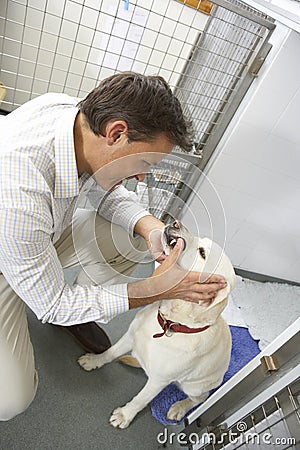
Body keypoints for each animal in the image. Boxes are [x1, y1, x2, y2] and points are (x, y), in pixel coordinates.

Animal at [78, 221, 237, 428]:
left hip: (195, 386)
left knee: (200, 398)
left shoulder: (159, 381)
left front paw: (125, 415)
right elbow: (110, 353)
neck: (170, 323)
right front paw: (95, 361)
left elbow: (140, 399)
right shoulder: (130, 336)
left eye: (202, 253)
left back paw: (179, 408)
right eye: (201, 241)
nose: (176, 222)